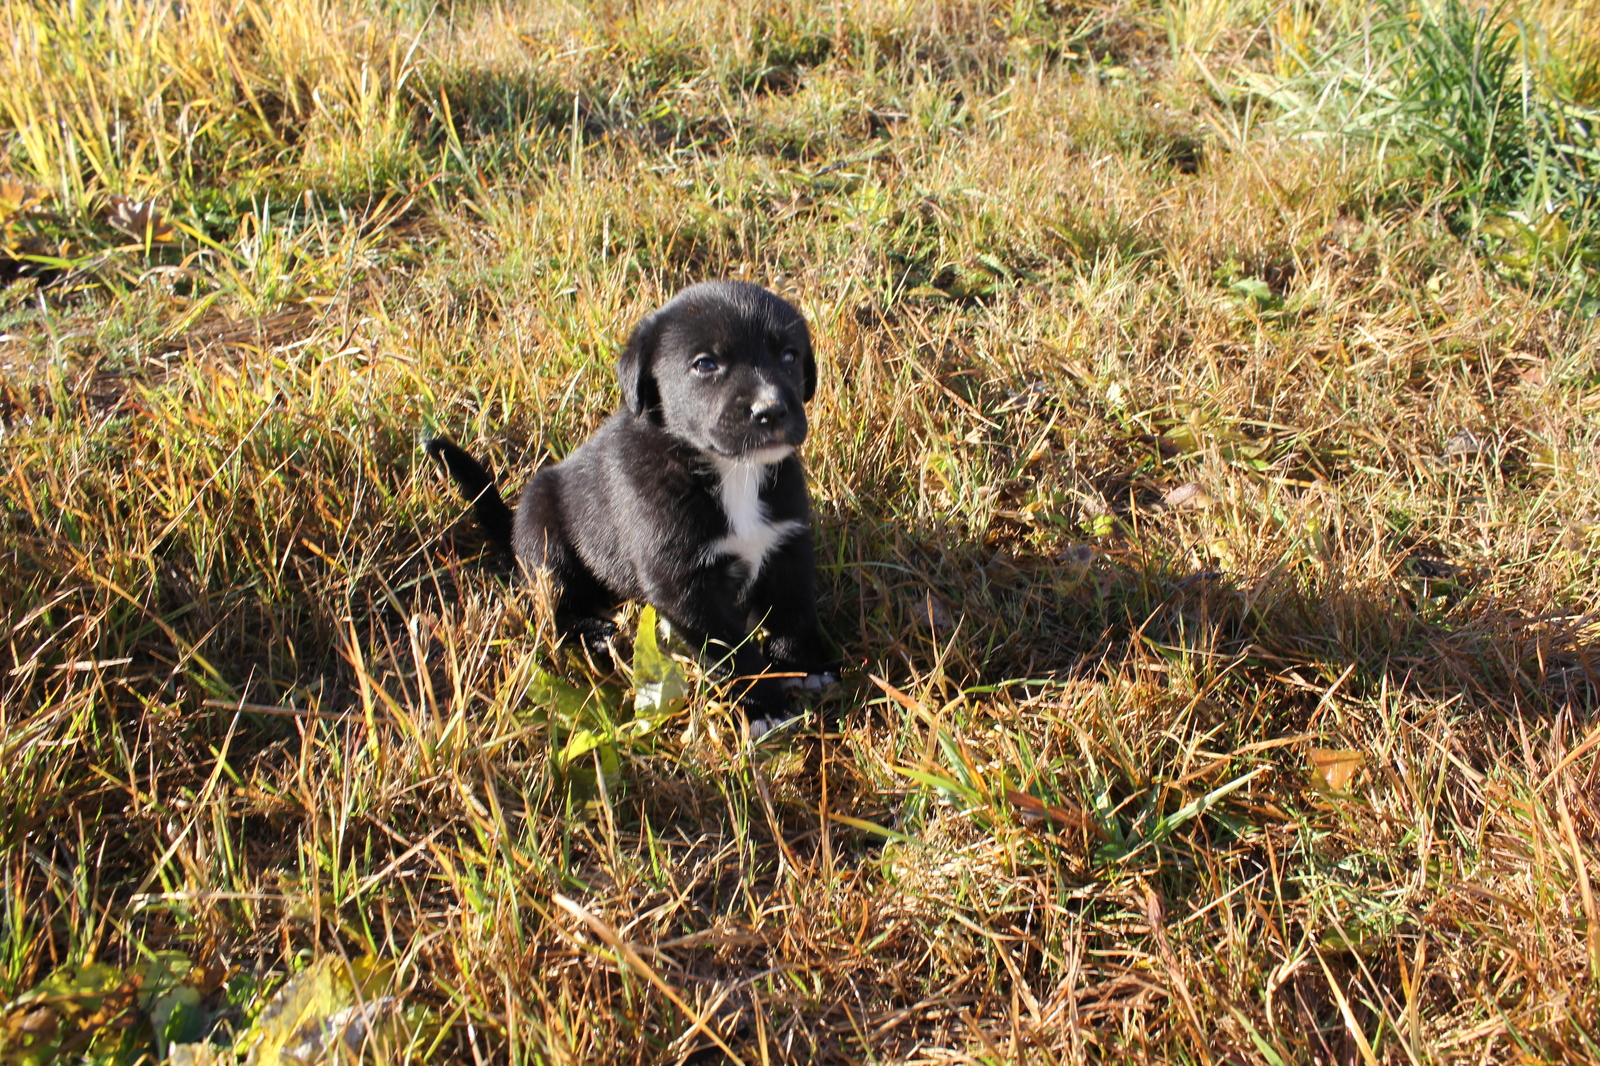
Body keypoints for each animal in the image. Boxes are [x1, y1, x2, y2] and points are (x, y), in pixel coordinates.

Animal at [428, 278, 838, 726]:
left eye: (789, 355)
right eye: (705, 365)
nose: (771, 410)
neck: (731, 473)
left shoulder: (787, 546)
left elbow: (793, 613)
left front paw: (806, 666)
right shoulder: (683, 583)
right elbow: (731, 650)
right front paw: (762, 704)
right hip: (544, 536)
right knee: (556, 608)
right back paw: (596, 633)